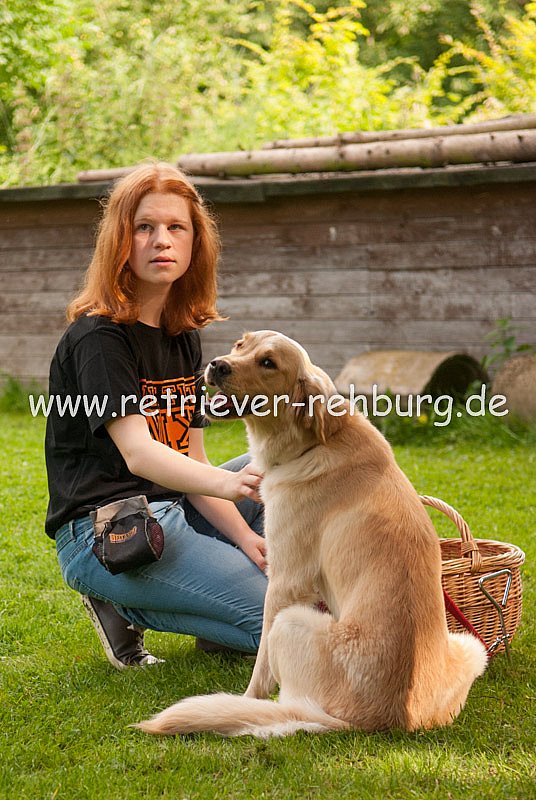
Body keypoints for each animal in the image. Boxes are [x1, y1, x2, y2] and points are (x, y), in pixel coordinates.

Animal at [136, 331, 487, 737]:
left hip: (290, 622)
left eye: (268, 363)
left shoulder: (284, 582)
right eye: (241, 345)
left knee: (284, 705)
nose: (217, 365)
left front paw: (248, 697)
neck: (312, 443)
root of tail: (381, 720)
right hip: (470, 646)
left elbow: (260, 668)